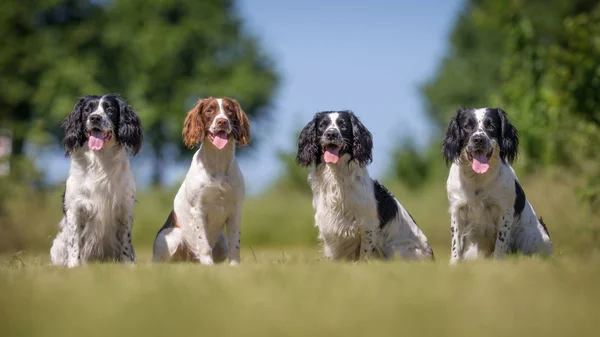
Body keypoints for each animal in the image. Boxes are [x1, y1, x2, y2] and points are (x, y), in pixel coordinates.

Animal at [49, 93, 142, 266]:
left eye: (110, 110)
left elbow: (126, 242)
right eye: (87, 110)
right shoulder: (75, 209)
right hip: (57, 246)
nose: (95, 118)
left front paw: (127, 265)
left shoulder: (125, 208)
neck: (100, 161)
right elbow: (75, 243)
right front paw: (74, 266)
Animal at [155, 96, 251, 264]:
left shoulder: (235, 210)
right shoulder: (198, 210)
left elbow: (235, 244)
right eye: (209, 110)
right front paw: (208, 265)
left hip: (222, 243)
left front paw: (234, 266)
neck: (218, 162)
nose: (222, 121)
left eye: (229, 110)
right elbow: (204, 244)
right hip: (172, 236)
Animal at [294, 110, 432, 260]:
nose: (331, 134)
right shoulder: (329, 228)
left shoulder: (368, 227)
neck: (337, 178)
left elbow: (364, 257)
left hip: (395, 248)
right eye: (322, 126)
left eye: (343, 125)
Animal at [440, 106, 552, 262]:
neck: (478, 178)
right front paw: (454, 264)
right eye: (467, 126)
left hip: (534, 238)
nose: (478, 139)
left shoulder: (504, 210)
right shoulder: (457, 210)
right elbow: (456, 244)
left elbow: (501, 243)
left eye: (491, 126)